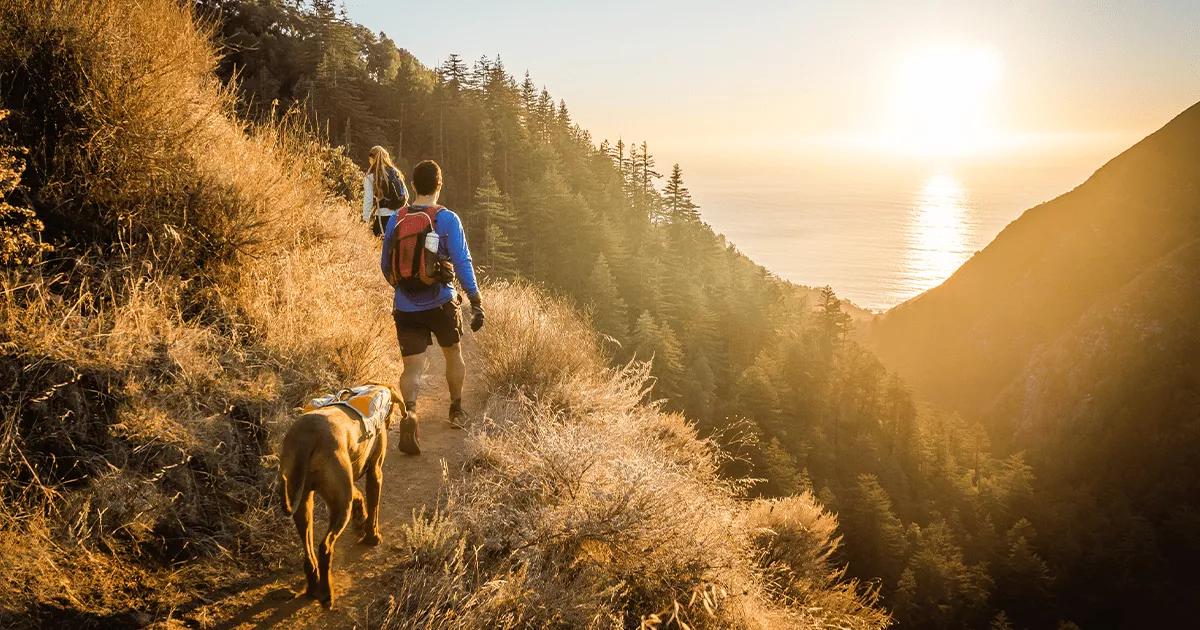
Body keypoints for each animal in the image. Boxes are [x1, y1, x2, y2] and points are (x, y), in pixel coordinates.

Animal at [277, 386, 403, 607]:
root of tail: (307, 436)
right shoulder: (375, 472)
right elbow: (374, 508)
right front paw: (372, 536)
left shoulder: (346, 481)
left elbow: (359, 495)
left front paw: (360, 518)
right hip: (340, 505)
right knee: (325, 547)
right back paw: (327, 593)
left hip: (304, 501)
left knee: (308, 552)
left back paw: (313, 587)